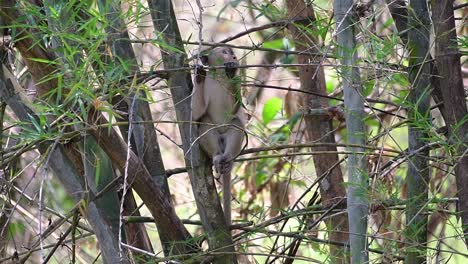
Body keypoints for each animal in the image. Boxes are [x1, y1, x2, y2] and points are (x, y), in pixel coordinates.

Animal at [192, 46, 247, 226]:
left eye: (232, 53)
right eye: (224, 52)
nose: (234, 57)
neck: (218, 77)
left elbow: (234, 109)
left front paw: (232, 71)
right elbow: (196, 114)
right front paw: (199, 75)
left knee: (236, 122)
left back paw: (227, 158)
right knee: (205, 121)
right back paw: (217, 156)